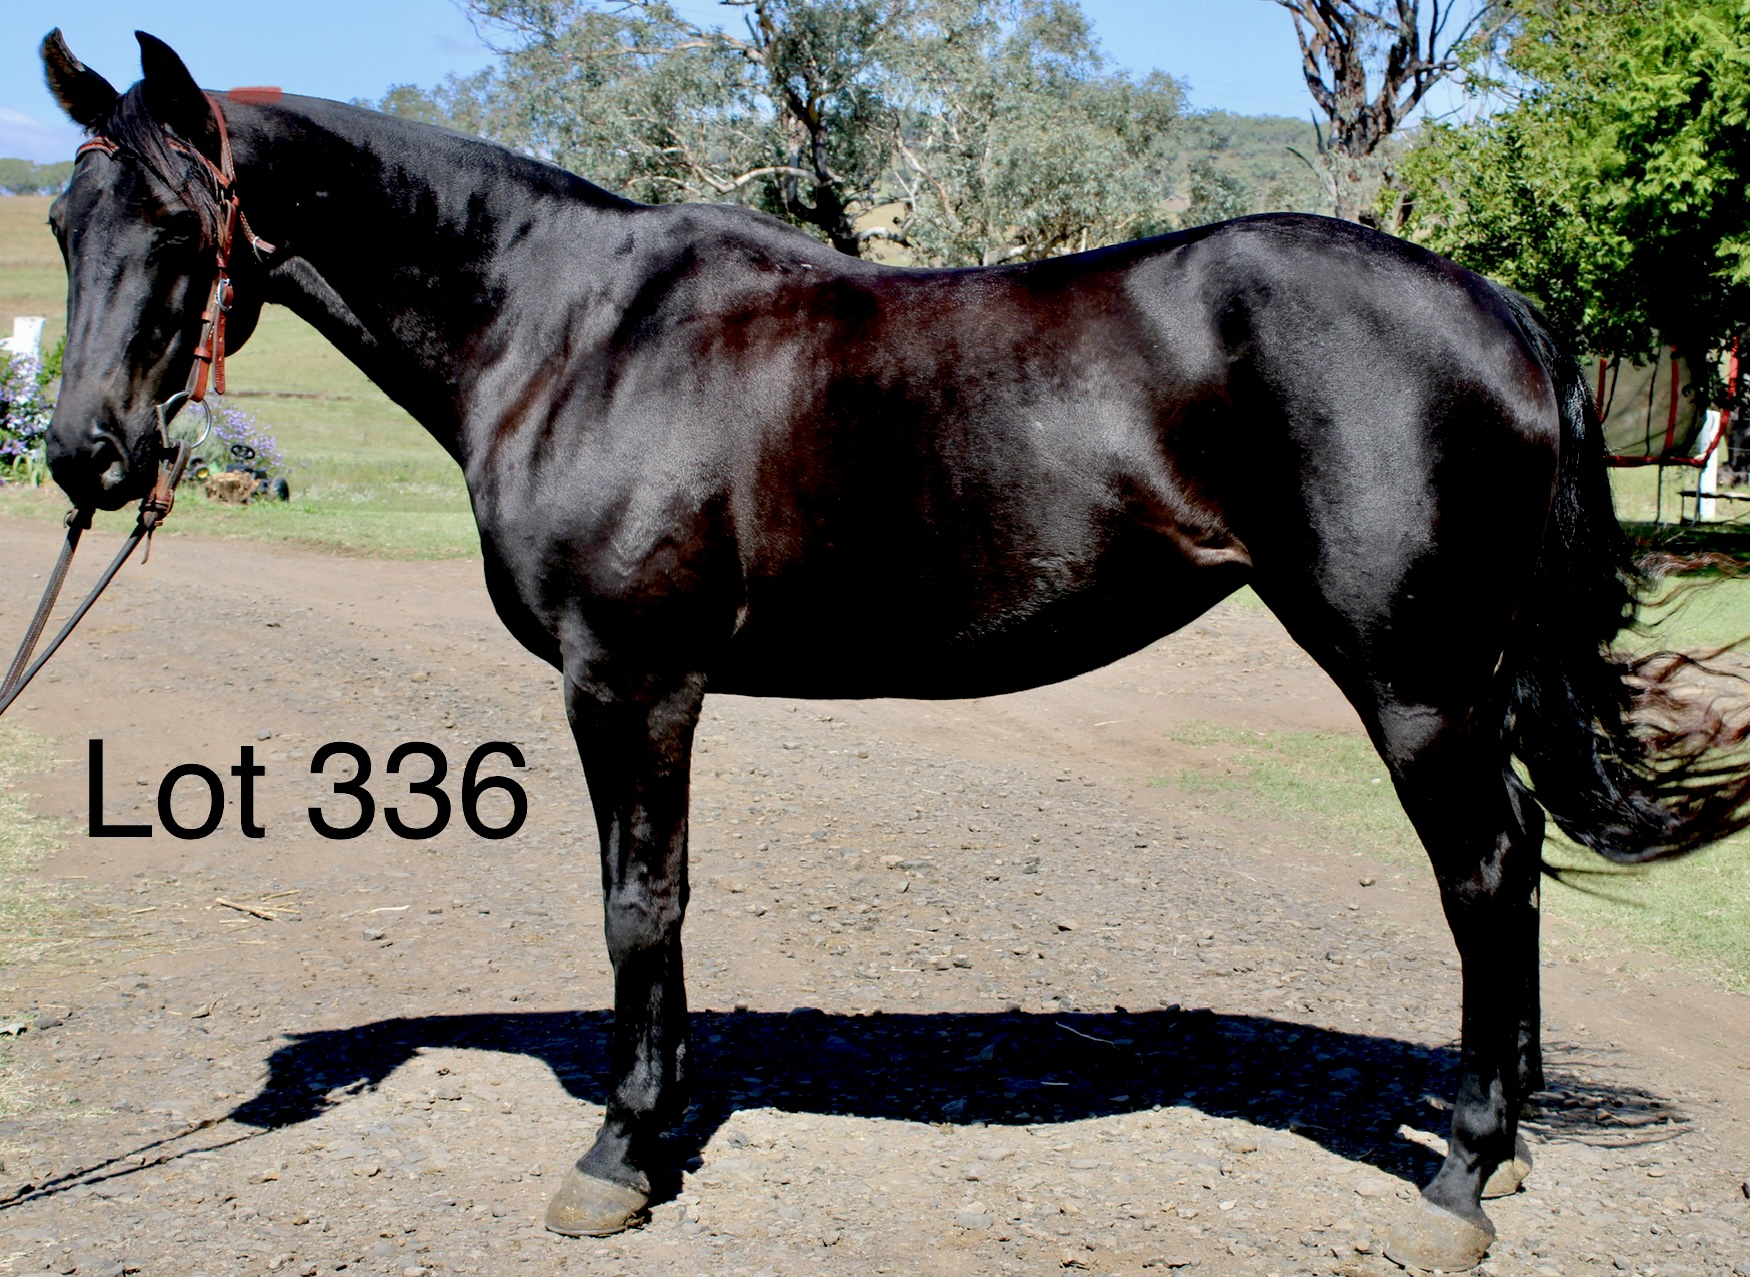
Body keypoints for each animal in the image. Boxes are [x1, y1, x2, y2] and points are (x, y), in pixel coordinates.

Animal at [37, 29, 1750, 1272]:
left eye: (180, 225)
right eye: (61, 219)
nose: (83, 455)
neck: (571, 334)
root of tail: (1497, 307)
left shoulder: (627, 680)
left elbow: (636, 904)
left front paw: (618, 1153)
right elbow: (653, 908)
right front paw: (657, 1131)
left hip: (1409, 679)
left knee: (1483, 872)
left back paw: (1459, 1170)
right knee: (1512, 866)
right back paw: (1498, 1146)